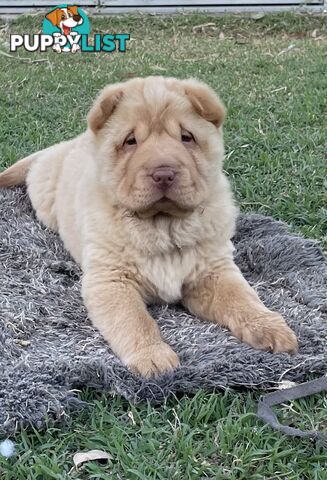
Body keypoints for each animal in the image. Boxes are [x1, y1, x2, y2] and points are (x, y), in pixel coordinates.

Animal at [0, 76, 298, 376]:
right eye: (130, 141)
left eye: (186, 137)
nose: (163, 173)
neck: (164, 226)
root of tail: (66, 145)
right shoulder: (111, 280)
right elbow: (134, 320)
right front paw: (153, 357)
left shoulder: (213, 271)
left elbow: (242, 298)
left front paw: (270, 328)